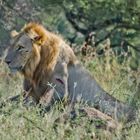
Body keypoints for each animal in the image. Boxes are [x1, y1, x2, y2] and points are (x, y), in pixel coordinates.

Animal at [5, 22, 136, 121]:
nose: (6, 61)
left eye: (20, 47)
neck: (36, 67)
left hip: (103, 102)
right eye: (11, 46)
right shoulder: (29, 90)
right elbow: (10, 100)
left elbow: (39, 105)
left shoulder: (61, 89)